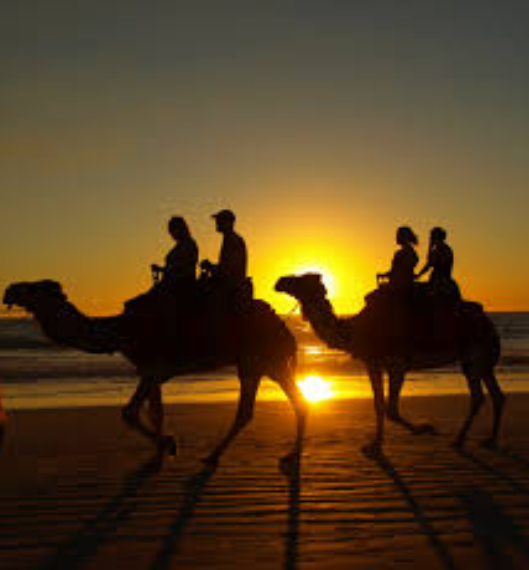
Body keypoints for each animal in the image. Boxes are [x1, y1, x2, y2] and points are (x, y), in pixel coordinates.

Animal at [3, 278, 306, 468]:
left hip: (261, 360)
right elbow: (154, 411)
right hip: (263, 364)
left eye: (33, 288)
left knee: (268, 406)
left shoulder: (154, 368)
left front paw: (167, 445)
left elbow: (129, 411)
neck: (120, 331)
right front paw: (161, 451)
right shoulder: (151, 372)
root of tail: (284, 329)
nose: (8, 290)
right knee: (276, 406)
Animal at [272, 272, 504, 454]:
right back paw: (479, 439)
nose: (280, 281)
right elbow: (379, 404)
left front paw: (424, 428)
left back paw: (470, 439)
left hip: (475, 355)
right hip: (475, 360)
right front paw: (375, 444)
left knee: (482, 395)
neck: (356, 330)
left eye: (301, 279)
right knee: (490, 395)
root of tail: (488, 323)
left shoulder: (397, 364)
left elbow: (391, 409)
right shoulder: (372, 364)